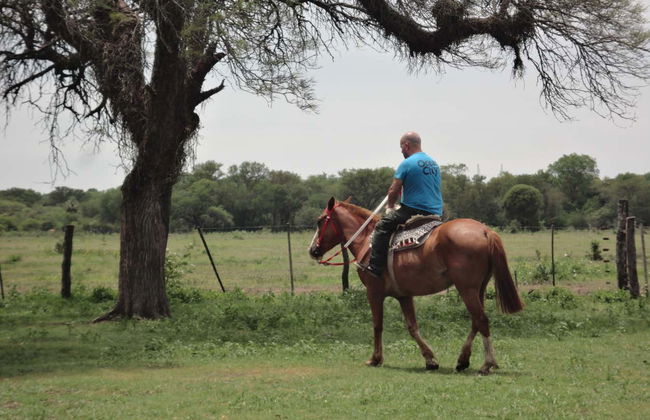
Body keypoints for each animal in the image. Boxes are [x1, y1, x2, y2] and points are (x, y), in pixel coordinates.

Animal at [308, 197, 524, 375]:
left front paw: (375, 359)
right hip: (478, 289)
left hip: (467, 289)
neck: (366, 240)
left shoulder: (374, 292)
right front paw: (430, 360)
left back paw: (487, 364)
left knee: (481, 320)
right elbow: (412, 327)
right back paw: (463, 360)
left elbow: (378, 325)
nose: (312, 250)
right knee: (476, 322)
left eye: (320, 221)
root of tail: (485, 231)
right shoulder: (404, 295)